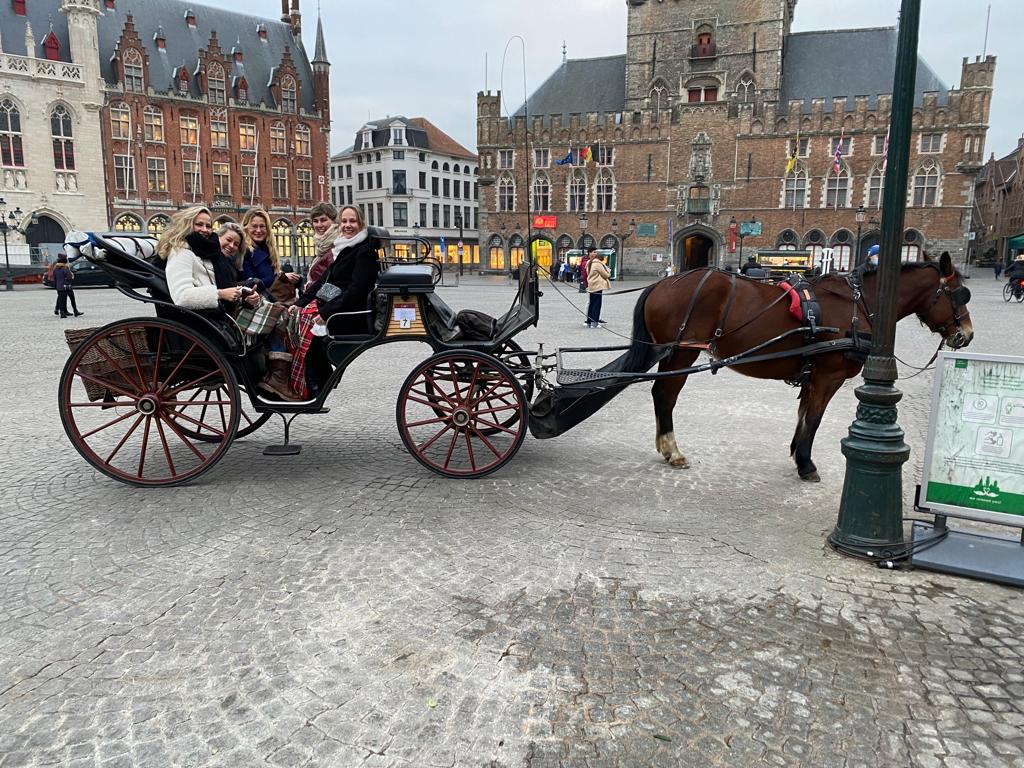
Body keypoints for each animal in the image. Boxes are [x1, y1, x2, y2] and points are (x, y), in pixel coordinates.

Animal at [618, 252, 970, 481]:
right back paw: (673, 450)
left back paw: (667, 447)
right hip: (681, 353)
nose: (966, 334)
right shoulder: (829, 376)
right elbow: (814, 419)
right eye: (959, 294)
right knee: (666, 394)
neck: (859, 306)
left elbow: (803, 417)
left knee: (660, 393)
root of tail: (662, 283)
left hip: (672, 354)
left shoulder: (813, 376)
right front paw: (806, 464)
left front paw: (797, 453)